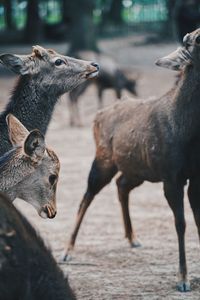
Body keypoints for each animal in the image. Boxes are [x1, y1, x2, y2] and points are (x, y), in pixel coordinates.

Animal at [62, 29, 200, 292]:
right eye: (194, 40)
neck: (188, 132)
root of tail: (98, 116)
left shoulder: (195, 178)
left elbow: (197, 221)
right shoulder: (171, 177)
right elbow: (181, 224)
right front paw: (183, 279)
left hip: (138, 170)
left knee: (121, 185)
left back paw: (133, 238)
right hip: (103, 160)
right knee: (86, 196)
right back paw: (67, 251)